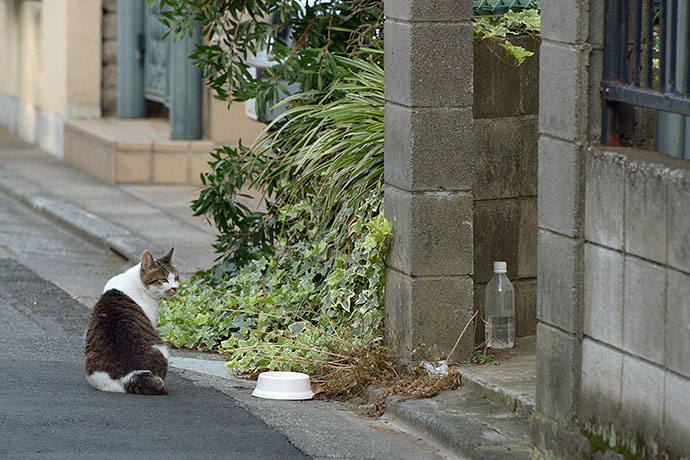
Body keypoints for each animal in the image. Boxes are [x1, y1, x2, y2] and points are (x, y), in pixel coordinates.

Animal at [83, 248, 179, 396]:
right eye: (163, 279)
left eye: (176, 278)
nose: (175, 288)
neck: (135, 280)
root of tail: (133, 374)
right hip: (162, 349)